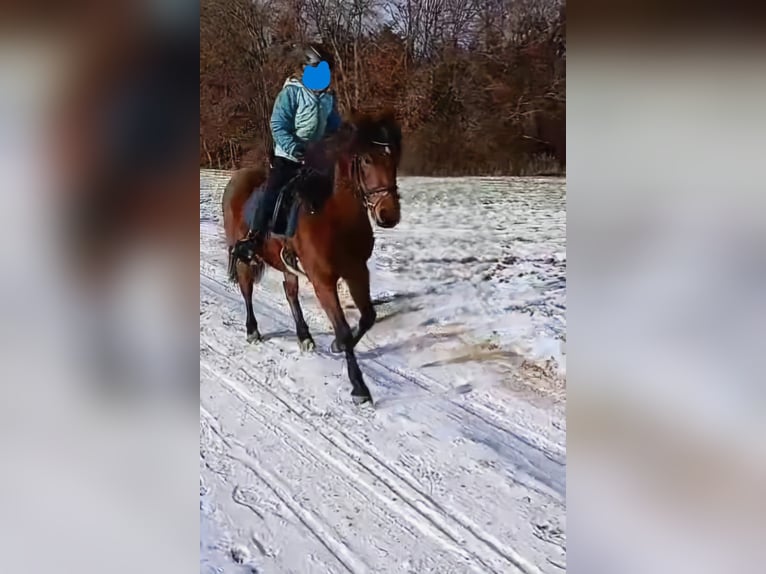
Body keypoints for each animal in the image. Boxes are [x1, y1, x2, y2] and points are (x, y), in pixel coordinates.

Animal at [222, 110, 402, 404]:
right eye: (366, 159)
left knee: (290, 292)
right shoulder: (323, 280)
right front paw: (359, 387)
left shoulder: (357, 271)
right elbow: (343, 328)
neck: (333, 216)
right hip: (245, 258)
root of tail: (237, 178)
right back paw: (253, 331)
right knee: (247, 290)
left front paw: (337, 345)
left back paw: (304, 336)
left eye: (393, 157)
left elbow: (368, 317)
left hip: (286, 264)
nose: (388, 214)